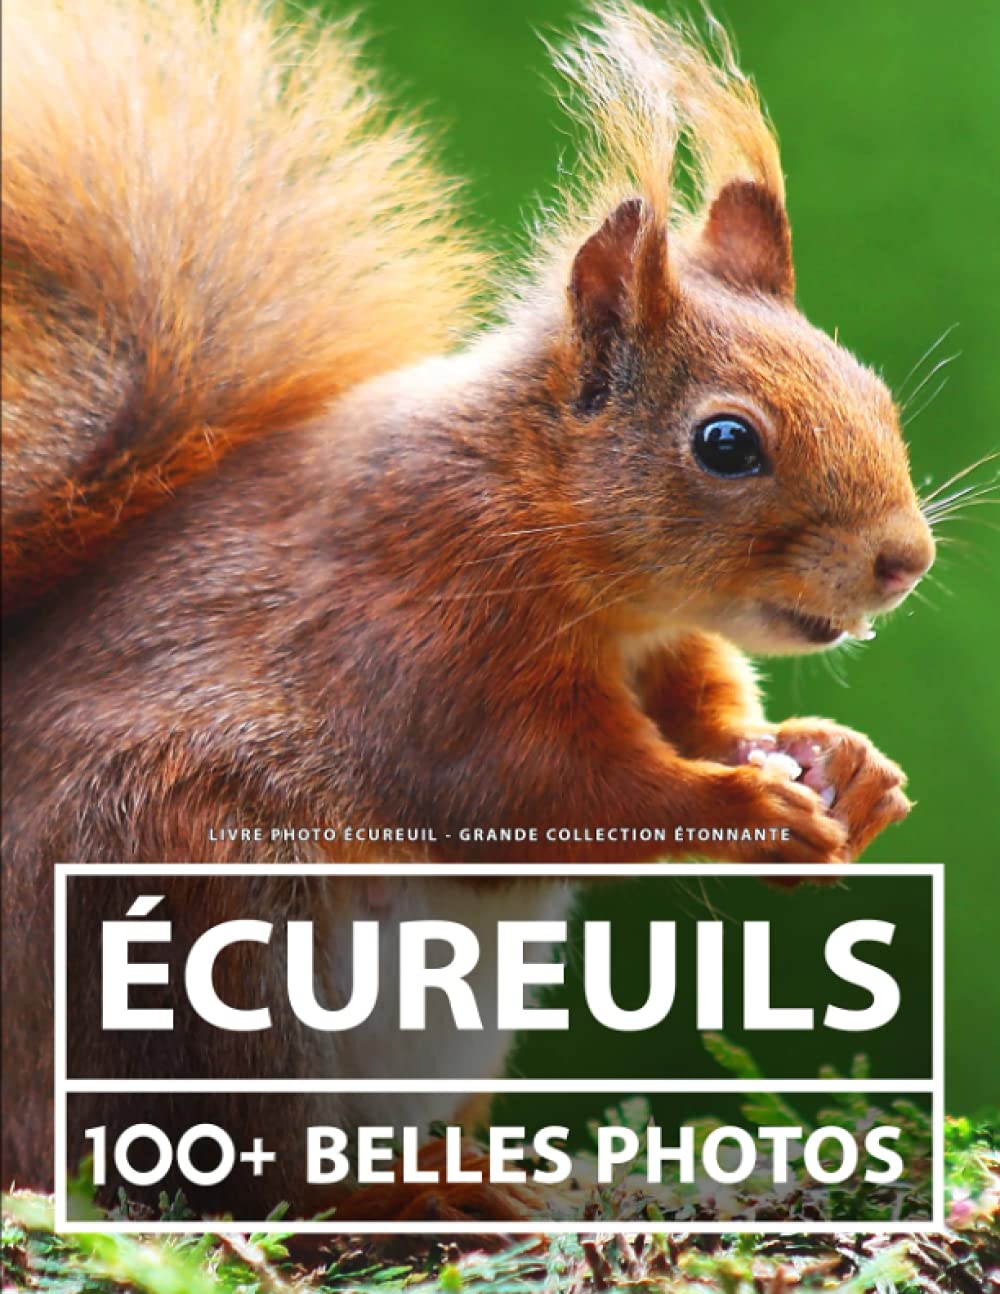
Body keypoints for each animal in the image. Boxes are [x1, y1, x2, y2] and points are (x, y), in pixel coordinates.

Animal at [2, 0, 936, 1220]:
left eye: (871, 391)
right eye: (727, 442)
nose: (904, 559)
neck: (543, 512)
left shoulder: (661, 647)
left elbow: (703, 709)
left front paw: (840, 765)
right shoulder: (430, 631)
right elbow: (540, 788)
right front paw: (748, 809)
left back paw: (465, 1168)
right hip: (197, 931)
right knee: (248, 1166)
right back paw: (407, 1198)